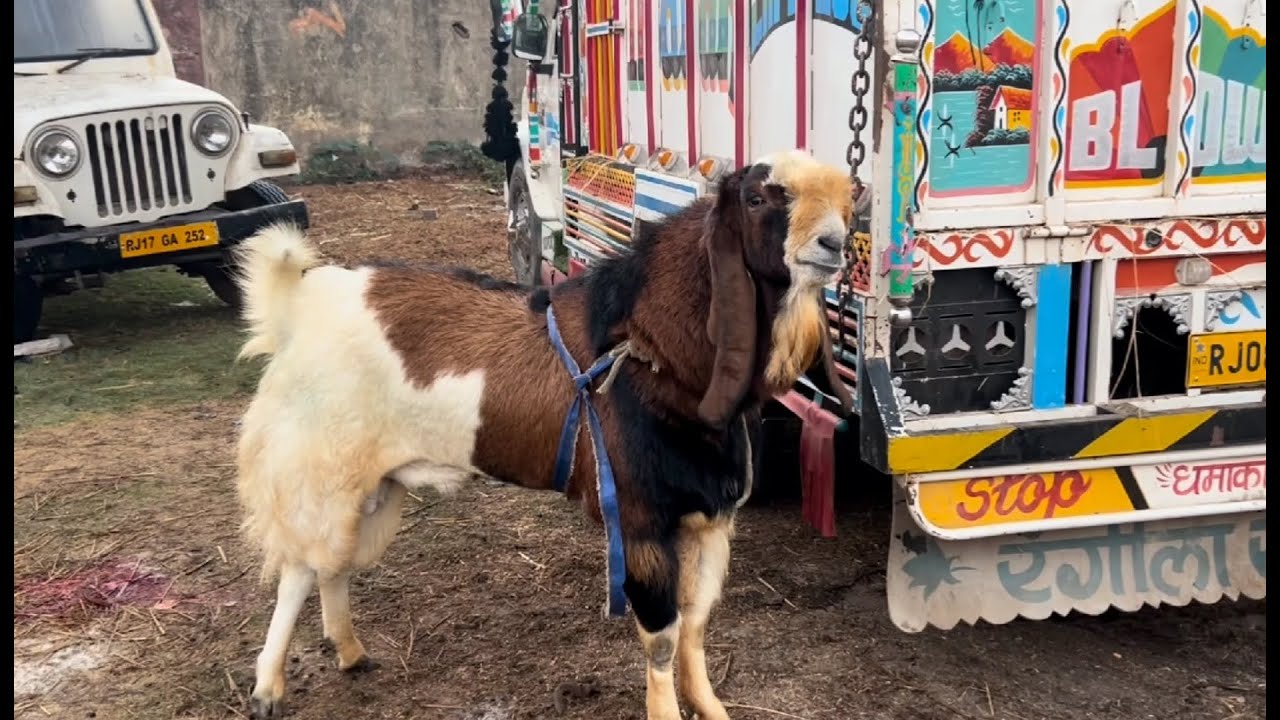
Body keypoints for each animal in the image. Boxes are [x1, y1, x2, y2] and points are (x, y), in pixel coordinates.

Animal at [233, 149, 854, 720]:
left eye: (849, 202)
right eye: (757, 198)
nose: (834, 245)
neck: (647, 350)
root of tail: (300, 306)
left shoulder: (709, 520)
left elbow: (696, 626)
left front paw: (712, 707)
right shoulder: (638, 525)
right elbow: (662, 639)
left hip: (371, 485)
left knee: (331, 565)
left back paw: (350, 650)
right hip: (318, 469)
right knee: (298, 571)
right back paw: (267, 687)